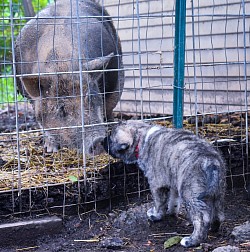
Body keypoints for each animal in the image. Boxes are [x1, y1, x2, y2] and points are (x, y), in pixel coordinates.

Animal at [102, 120, 226, 248]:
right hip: (218, 192)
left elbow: (159, 202)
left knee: (201, 219)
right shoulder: (173, 182)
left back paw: (192, 240)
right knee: (219, 214)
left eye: (110, 137)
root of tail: (211, 162)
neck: (142, 137)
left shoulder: (157, 184)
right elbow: (173, 200)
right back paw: (214, 228)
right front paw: (172, 212)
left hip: (191, 194)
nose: (102, 142)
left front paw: (155, 215)